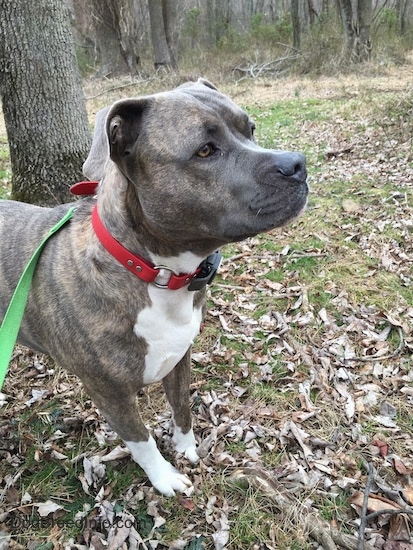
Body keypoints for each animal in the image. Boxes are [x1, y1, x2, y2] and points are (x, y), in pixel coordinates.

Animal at [0, 80, 306, 498]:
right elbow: (140, 440)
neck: (155, 273)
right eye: (205, 150)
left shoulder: (179, 357)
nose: (298, 164)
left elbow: (182, 408)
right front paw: (164, 477)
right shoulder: (109, 394)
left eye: (251, 129)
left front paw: (186, 449)